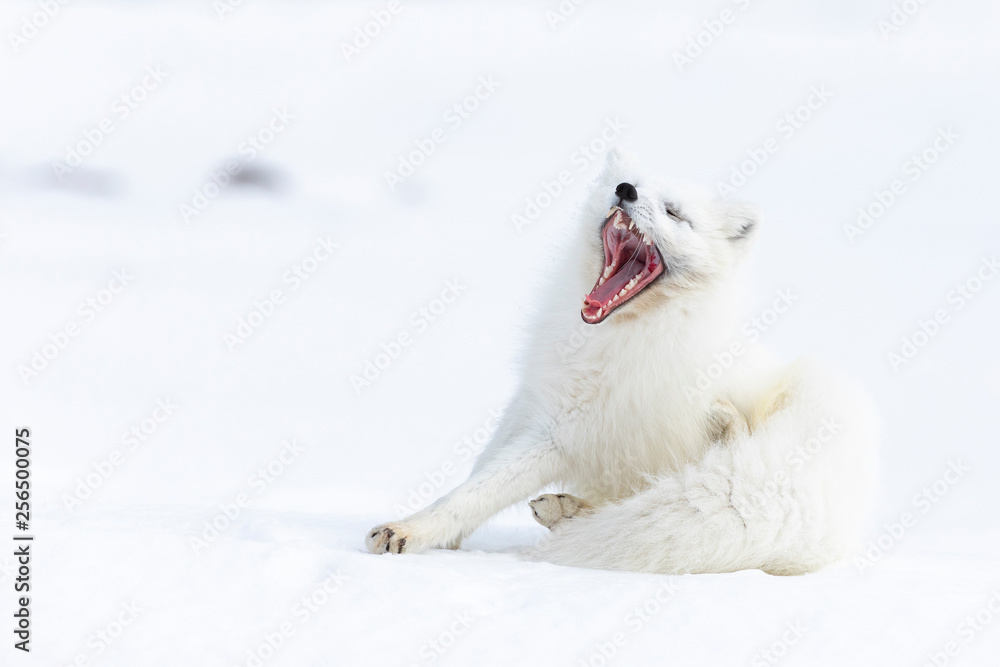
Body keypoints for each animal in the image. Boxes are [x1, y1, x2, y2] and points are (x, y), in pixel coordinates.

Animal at [365, 149, 878, 575]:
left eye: (674, 213)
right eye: (626, 184)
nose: (625, 191)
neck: (611, 334)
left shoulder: (567, 427)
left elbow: (480, 489)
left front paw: (410, 531)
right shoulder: (532, 403)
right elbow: (478, 474)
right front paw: (444, 539)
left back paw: (722, 425)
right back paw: (567, 509)